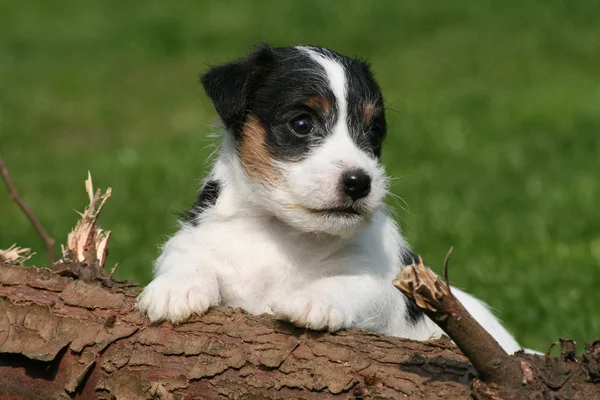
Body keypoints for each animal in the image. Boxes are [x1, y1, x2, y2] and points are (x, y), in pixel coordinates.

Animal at [135, 44, 520, 354]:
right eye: (302, 123)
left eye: (373, 132)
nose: (359, 183)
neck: (283, 233)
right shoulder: (196, 237)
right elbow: (185, 258)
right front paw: (174, 290)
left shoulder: (383, 285)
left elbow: (349, 284)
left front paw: (311, 299)